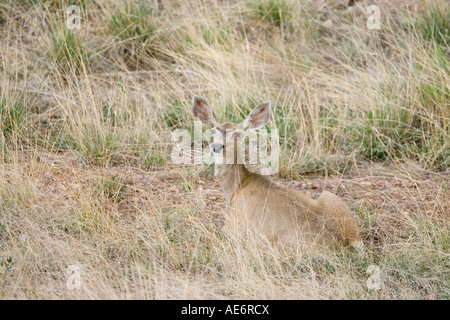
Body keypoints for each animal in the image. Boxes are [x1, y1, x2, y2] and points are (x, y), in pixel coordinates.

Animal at [192, 96, 362, 251]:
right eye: (213, 130)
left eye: (238, 134)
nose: (216, 146)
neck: (236, 187)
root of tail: (339, 241)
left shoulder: (231, 226)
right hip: (331, 198)